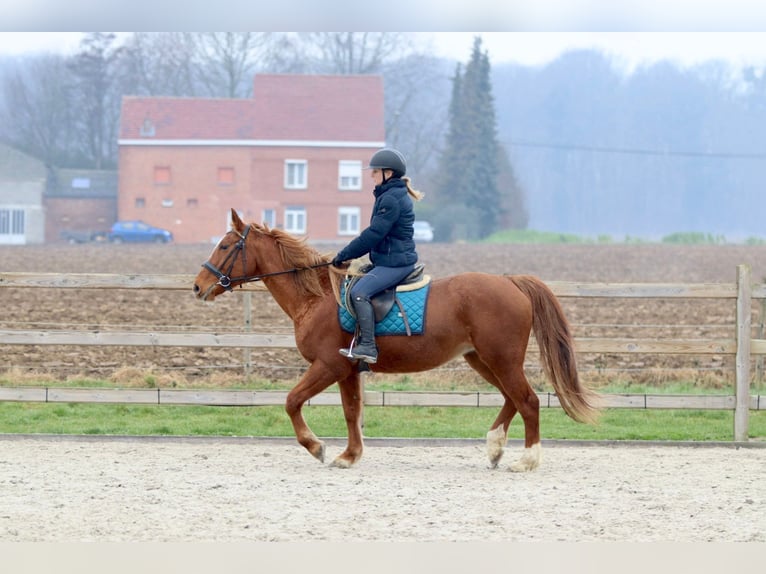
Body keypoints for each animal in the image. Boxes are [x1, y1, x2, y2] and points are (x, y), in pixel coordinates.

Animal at [193, 209, 600, 472]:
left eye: (226, 246)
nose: (198, 286)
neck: (316, 298)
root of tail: (511, 282)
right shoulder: (347, 370)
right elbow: (352, 412)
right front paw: (349, 456)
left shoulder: (328, 365)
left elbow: (293, 401)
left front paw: (317, 447)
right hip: (483, 360)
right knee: (511, 398)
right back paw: (495, 447)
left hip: (501, 359)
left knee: (527, 401)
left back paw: (526, 460)